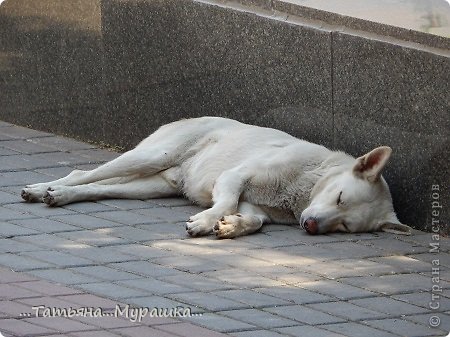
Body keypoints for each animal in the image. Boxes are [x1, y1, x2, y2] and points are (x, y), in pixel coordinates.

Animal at [22, 117, 412, 238]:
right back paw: (43, 188)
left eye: (345, 226)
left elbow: (253, 220)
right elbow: (224, 201)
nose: (311, 226)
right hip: (152, 155)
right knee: (82, 173)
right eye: (340, 197)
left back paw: (59, 195)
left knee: (97, 188)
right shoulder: (235, 176)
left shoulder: (257, 207)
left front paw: (231, 226)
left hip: (150, 186)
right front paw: (207, 221)